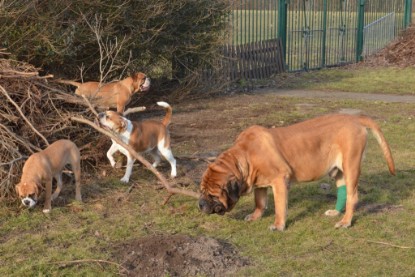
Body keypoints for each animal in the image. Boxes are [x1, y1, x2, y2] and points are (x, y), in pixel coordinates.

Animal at [198, 113, 396, 230]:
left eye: (212, 195)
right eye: (201, 192)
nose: (200, 204)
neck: (244, 156)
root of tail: (355, 118)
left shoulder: (279, 180)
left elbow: (279, 207)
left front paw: (278, 225)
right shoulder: (259, 183)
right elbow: (260, 202)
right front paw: (255, 216)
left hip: (351, 165)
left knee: (353, 196)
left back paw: (345, 222)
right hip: (339, 171)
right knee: (344, 192)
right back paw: (336, 213)